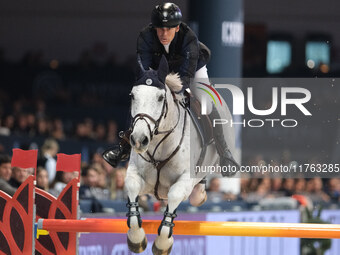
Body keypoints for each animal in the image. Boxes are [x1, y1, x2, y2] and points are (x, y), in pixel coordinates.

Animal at [125, 56, 236, 255]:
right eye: (132, 96)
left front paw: (163, 244)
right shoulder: (139, 177)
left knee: (197, 193)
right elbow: (131, 187)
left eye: (160, 98)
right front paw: (136, 239)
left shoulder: (184, 181)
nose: (139, 140)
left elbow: (175, 196)